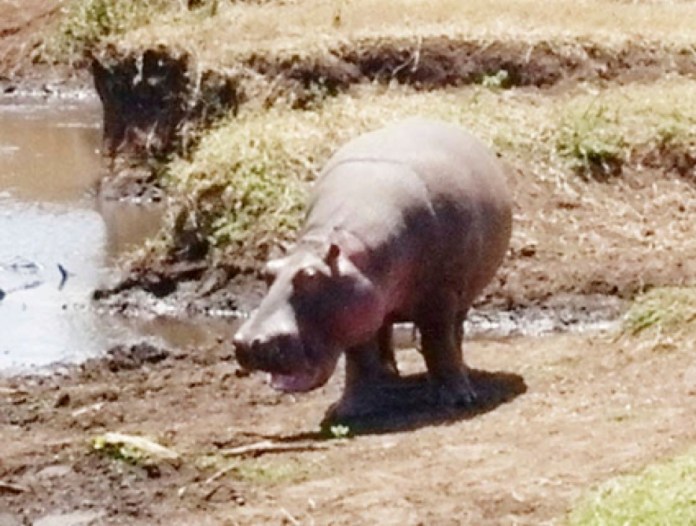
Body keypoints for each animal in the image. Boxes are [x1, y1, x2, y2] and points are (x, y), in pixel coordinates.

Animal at [233, 118, 512, 420]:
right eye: (268, 270)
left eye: (310, 276)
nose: (248, 341)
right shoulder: (356, 306)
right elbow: (359, 358)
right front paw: (348, 410)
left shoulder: (439, 296)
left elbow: (437, 342)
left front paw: (458, 400)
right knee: (384, 333)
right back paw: (388, 375)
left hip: (462, 293)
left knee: (454, 333)